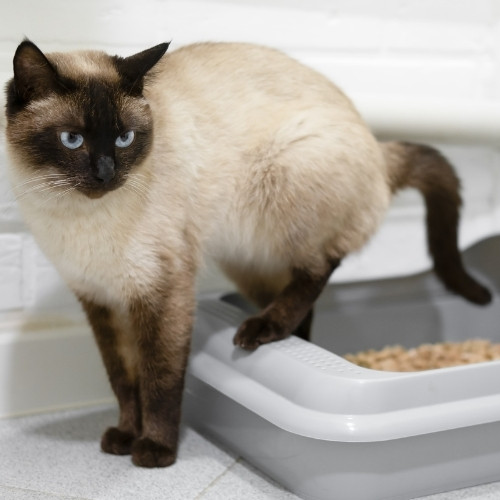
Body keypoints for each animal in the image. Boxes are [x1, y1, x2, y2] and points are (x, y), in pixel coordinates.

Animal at [5, 39, 491, 468]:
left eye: (124, 138)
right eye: (72, 139)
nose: (106, 174)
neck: (76, 218)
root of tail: (377, 148)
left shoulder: (162, 293)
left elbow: (158, 380)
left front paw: (155, 451)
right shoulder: (101, 300)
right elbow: (124, 380)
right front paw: (125, 437)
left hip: (286, 179)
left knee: (321, 266)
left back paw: (260, 330)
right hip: (248, 260)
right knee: (302, 305)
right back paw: (280, 334)